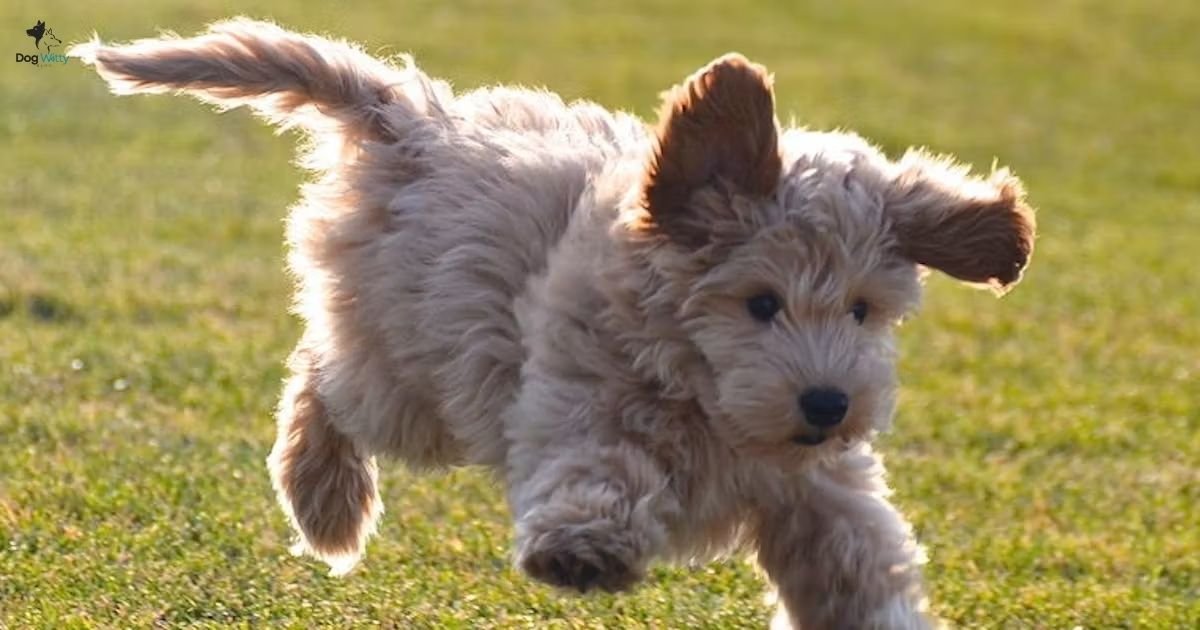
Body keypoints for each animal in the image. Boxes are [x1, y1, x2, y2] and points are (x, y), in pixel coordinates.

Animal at [75, 18, 1032, 624]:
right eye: (760, 303)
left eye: (864, 310)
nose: (830, 403)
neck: (713, 403)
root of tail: (411, 118)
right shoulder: (577, 395)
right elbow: (601, 466)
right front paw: (584, 546)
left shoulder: (821, 493)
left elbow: (858, 568)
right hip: (418, 378)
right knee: (323, 374)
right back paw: (326, 500)